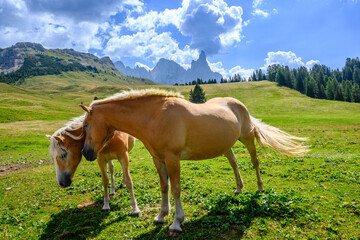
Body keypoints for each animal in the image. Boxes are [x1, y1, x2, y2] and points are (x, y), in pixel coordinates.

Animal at [80, 89, 308, 237]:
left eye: (86, 124)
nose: (87, 153)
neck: (155, 116)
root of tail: (238, 104)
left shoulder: (172, 158)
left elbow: (176, 189)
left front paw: (176, 223)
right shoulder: (158, 159)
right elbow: (164, 187)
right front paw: (161, 216)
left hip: (247, 138)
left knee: (255, 162)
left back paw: (260, 188)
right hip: (226, 145)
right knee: (234, 163)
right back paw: (238, 188)